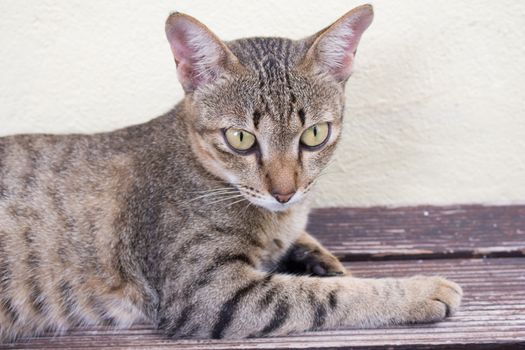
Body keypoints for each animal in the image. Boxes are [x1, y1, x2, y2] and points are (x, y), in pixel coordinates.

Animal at [0, 4, 462, 340]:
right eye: (241, 139)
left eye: (314, 134)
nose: (284, 191)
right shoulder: (208, 292)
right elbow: (325, 297)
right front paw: (418, 291)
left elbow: (308, 249)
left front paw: (319, 257)